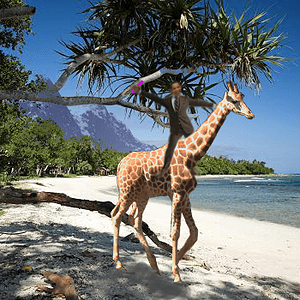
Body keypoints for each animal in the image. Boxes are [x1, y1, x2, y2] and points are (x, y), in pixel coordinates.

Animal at [111, 81, 254, 282]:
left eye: (242, 97)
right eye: (234, 100)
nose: (250, 114)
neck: (192, 155)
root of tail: (119, 165)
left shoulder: (185, 195)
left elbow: (194, 233)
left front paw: (175, 265)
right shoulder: (178, 193)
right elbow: (175, 232)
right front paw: (176, 274)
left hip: (140, 196)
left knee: (133, 220)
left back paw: (154, 266)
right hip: (127, 192)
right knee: (117, 216)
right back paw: (119, 263)